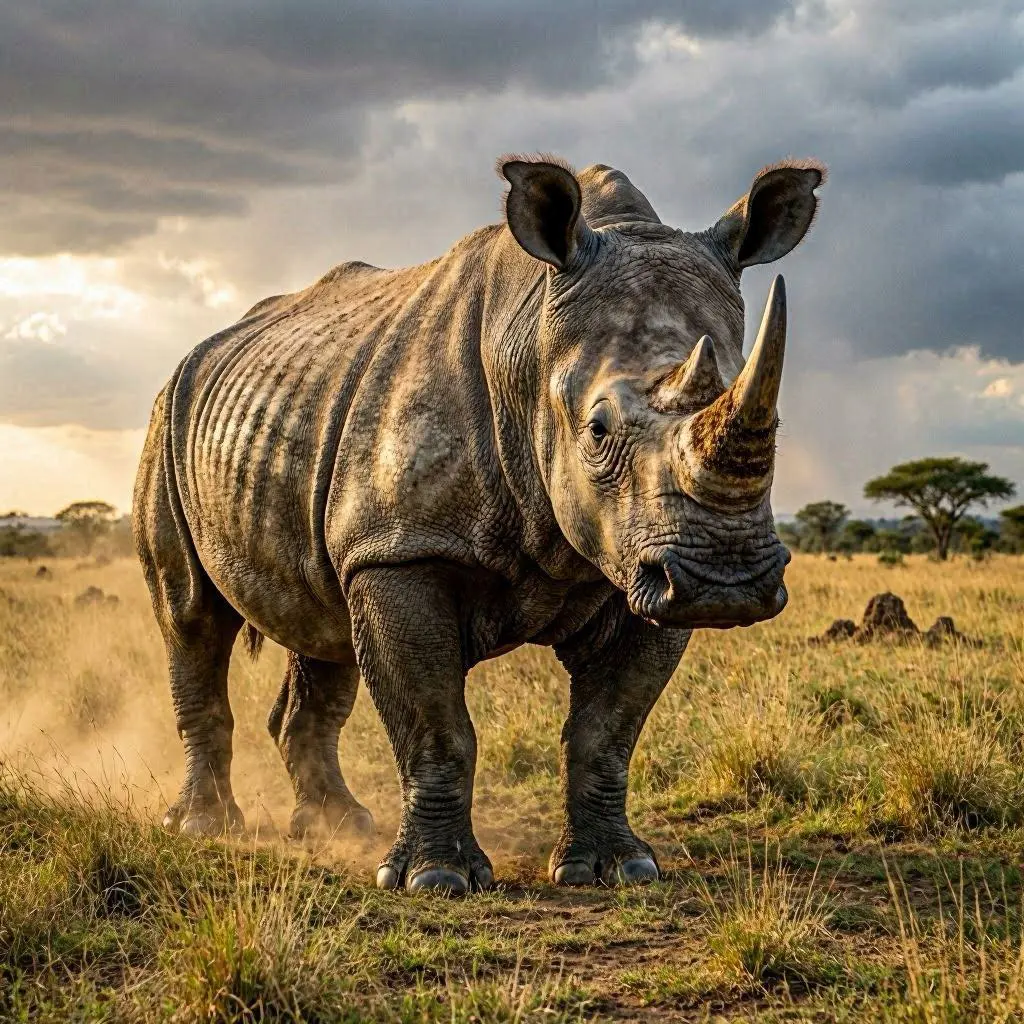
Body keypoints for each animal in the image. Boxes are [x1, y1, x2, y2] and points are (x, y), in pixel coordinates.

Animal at [134, 154, 824, 894]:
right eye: (598, 429)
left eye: (779, 423)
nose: (725, 583)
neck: (530, 349)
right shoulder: (403, 550)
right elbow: (436, 723)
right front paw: (436, 879)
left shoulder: (642, 564)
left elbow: (607, 731)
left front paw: (618, 868)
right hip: (167, 417)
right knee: (191, 615)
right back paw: (206, 827)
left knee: (323, 629)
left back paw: (338, 827)